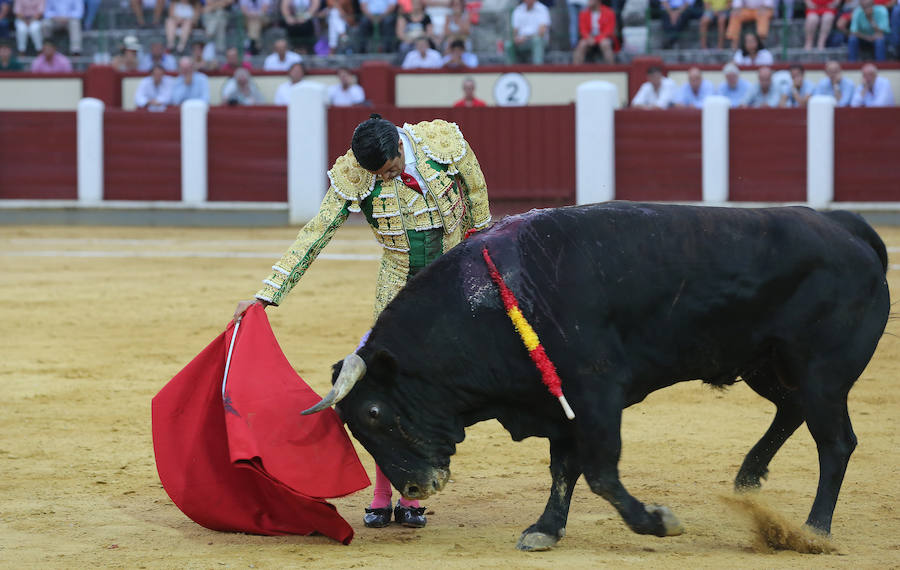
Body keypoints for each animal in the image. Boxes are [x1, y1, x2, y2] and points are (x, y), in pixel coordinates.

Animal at [306, 202, 888, 548]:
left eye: (374, 412)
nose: (413, 485)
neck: (497, 298)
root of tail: (850, 230)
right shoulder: (557, 402)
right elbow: (563, 469)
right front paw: (545, 530)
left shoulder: (595, 393)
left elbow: (599, 472)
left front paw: (657, 522)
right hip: (768, 365)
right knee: (791, 411)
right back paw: (749, 480)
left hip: (821, 372)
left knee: (836, 443)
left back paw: (813, 531)